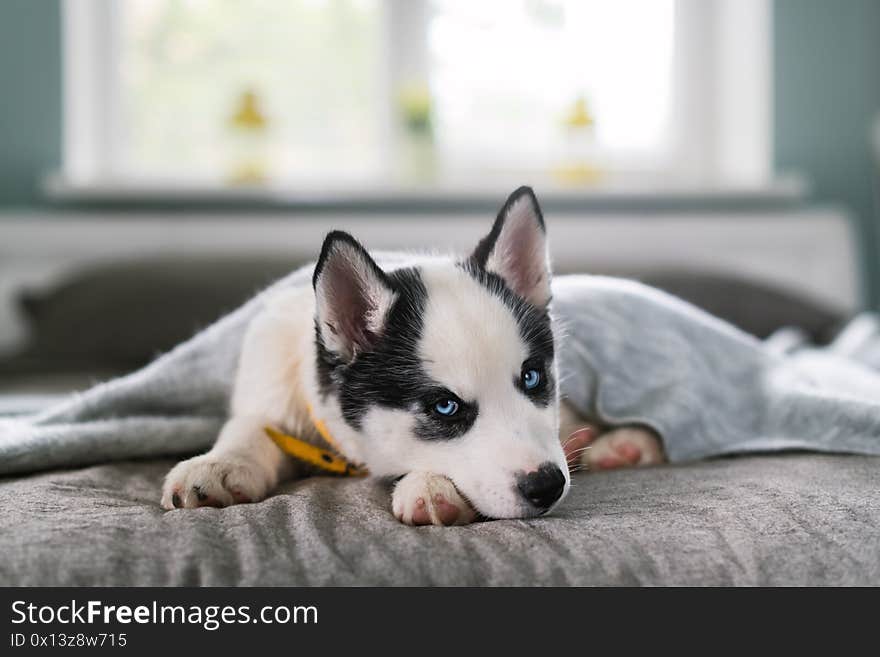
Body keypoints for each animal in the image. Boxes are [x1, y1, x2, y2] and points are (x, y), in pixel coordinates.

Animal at [162, 187, 664, 524]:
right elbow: (250, 426)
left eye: (533, 378)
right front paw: (220, 464)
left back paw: (627, 442)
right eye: (444, 407)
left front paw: (430, 484)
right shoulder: (270, 380)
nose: (547, 485)